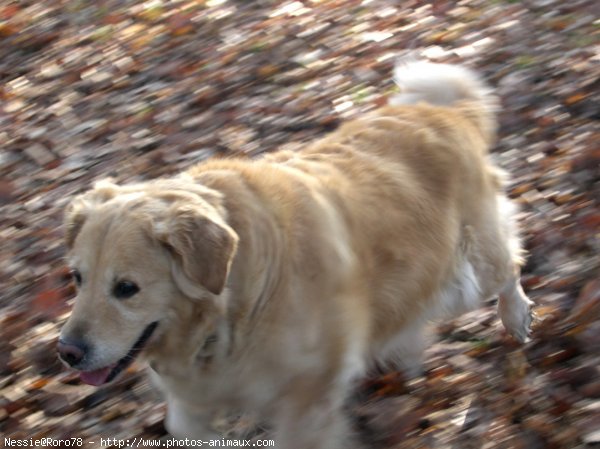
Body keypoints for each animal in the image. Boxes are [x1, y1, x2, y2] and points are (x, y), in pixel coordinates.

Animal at [58, 60, 532, 448]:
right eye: (78, 278)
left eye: (126, 288)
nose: (67, 352)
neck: (234, 297)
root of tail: (443, 112)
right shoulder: (197, 394)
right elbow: (184, 427)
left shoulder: (308, 396)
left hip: (468, 272)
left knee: (509, 268)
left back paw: (517, 317)